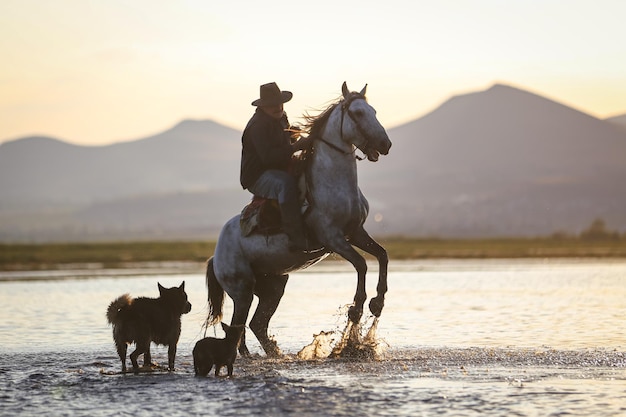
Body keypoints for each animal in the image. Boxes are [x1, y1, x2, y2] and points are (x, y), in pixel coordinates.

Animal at [205, 83, 390, 356]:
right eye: (357, 113)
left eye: (374, 110)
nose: (385, 144)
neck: (333, 183)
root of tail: (215, 256)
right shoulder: (333, 238)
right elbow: (362, 264)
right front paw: (356, 310)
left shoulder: (356, 232)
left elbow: (382, 255)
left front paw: (377, 303)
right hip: (241, 290)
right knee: (239, 327)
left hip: (273, 287)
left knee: (256, 324)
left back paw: (275, 355)